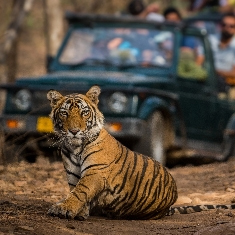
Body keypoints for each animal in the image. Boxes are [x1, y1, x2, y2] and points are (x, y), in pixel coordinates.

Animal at [46, 86, 235, 220]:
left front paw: (63, 208)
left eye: (84, 113)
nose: (74, 131)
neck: (75, 148)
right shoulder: (73, 174)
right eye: (64, 113)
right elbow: (75, 191)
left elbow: (80, 191)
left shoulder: (96, 171)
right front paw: (78, 211)